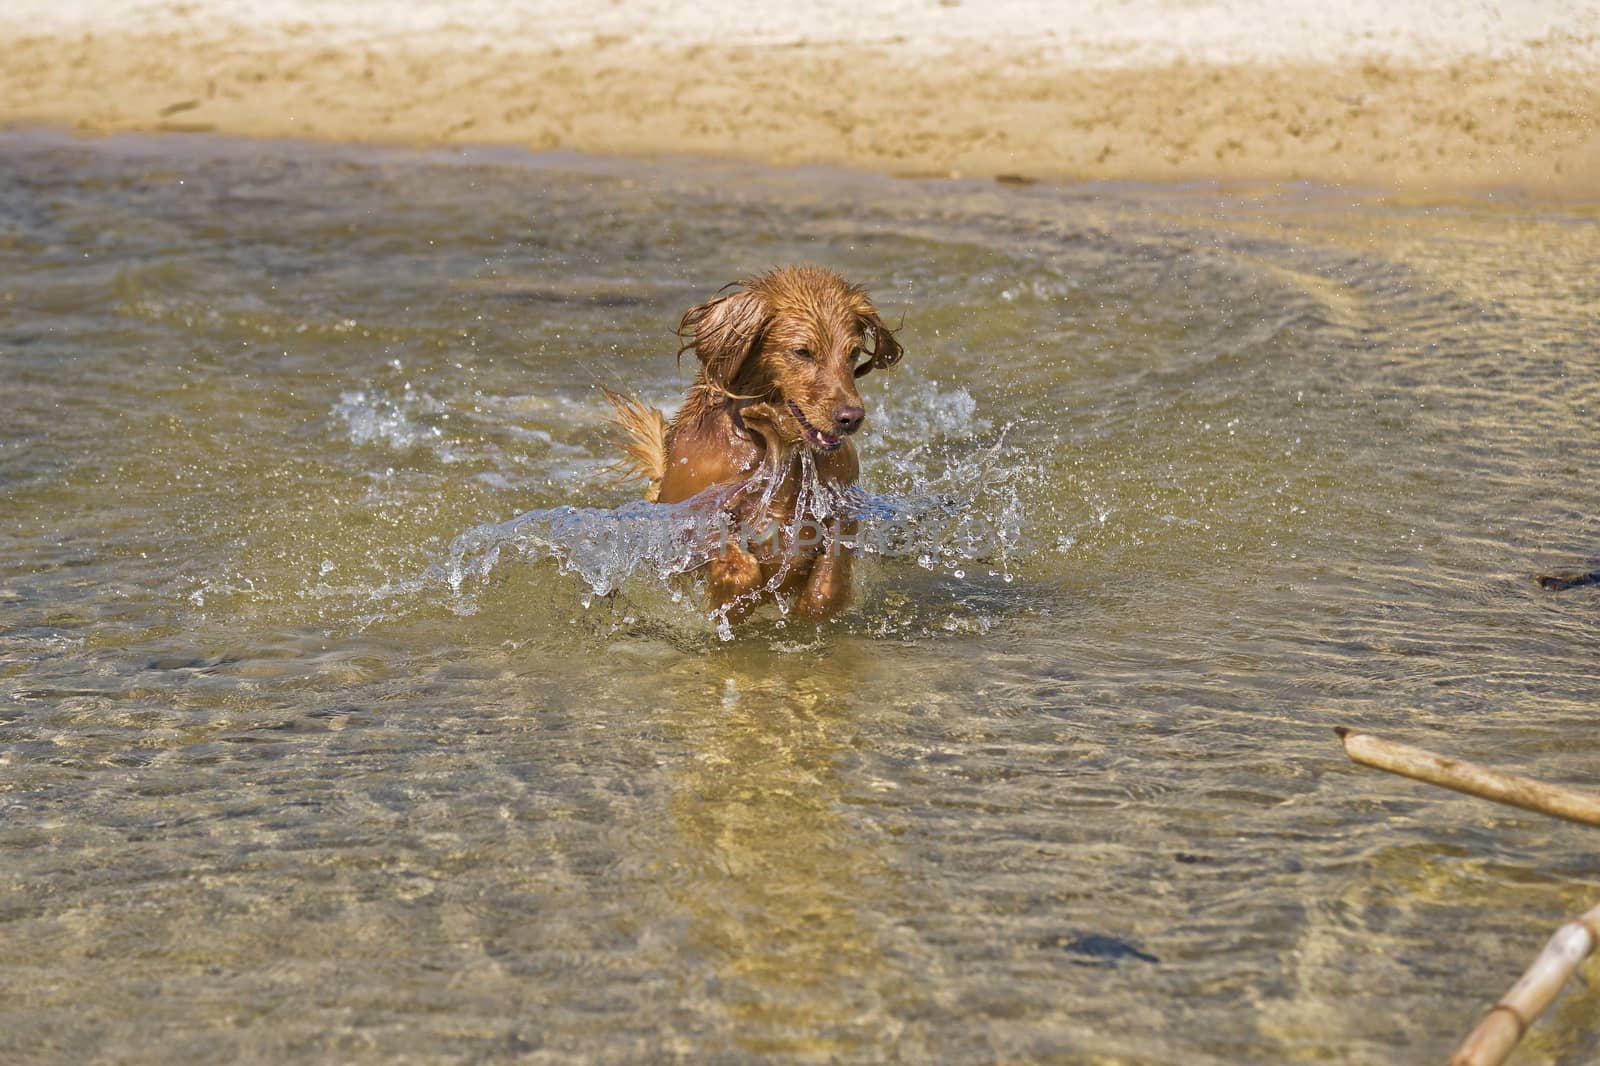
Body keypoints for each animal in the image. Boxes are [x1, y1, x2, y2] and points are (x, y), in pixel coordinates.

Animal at [601, 260, 902, 617]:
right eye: (802, 352)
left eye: (853, 352)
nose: (851, 417)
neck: (777, 444)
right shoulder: (692, 522)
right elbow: (739, 565)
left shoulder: (841, 511)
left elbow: (828, 579)